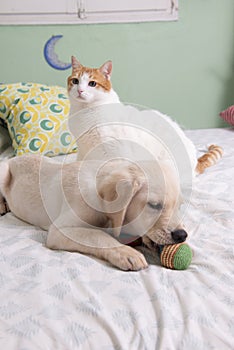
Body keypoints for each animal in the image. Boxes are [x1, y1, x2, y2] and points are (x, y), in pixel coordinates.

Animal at [0, 155, 186, 270]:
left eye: (179, 206)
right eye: (154, 205)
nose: (182, 235)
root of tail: (13, 158)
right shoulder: (59, 231)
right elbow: (97, 235)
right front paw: (126, 252)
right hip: (3, 171)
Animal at [67, 56, 223, 175]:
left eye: (92, 83)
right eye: (75, 81)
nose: (80, 90)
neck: (85, 113)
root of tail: (195, 163)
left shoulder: (114, 151)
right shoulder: (83, 151)